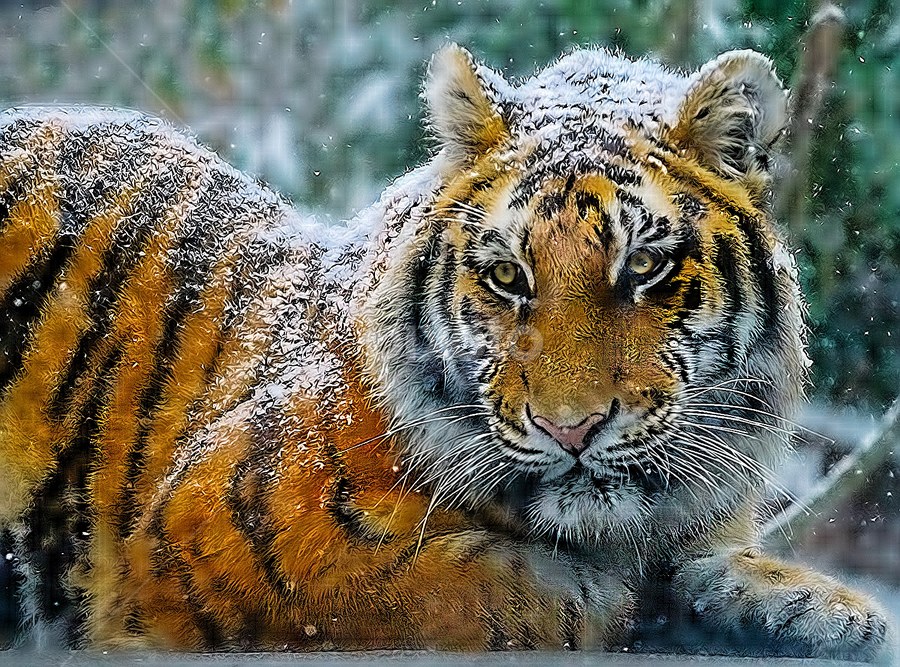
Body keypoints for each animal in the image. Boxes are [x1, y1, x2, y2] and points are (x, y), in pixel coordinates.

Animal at [0, 44, 892, 660]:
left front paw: (825, 610)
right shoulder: (201, 538)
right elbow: (478, 593)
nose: (571, 429)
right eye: (507, 276)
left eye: (644, 266)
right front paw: (611, 599)